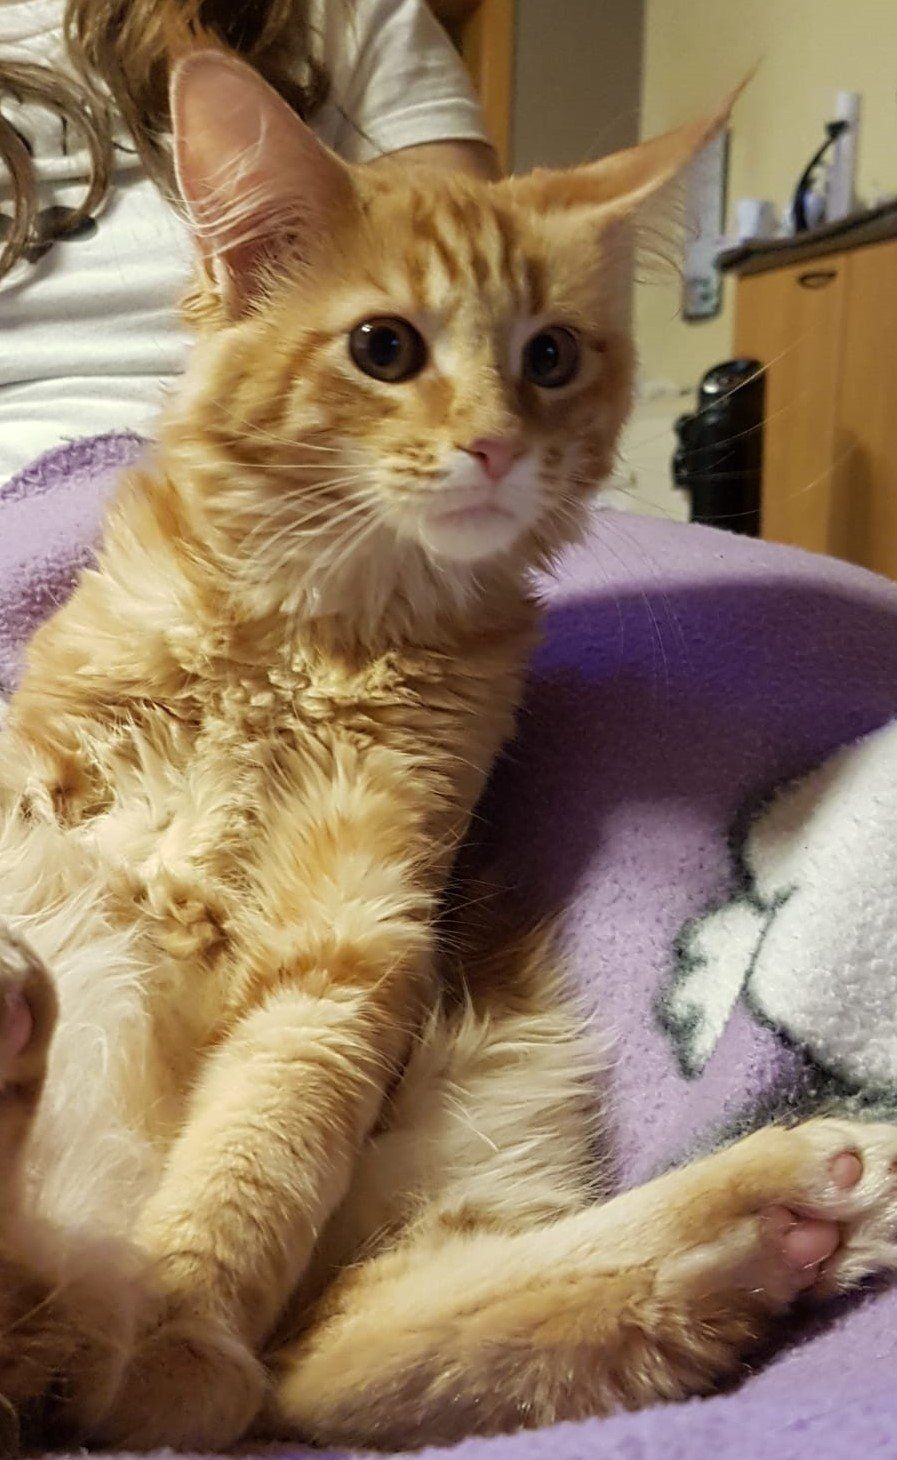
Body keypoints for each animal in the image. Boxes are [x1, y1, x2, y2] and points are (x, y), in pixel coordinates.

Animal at [1, 47, 897, 1455]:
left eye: (550, 355)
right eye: (386, 346)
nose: (497, 444)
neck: (310, 632)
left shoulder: (358, 938)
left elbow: (258, 1155)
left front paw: (180, 1340)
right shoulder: (45, 781)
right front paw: (172, 1341)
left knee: (348, 1357)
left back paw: (786, 1215)